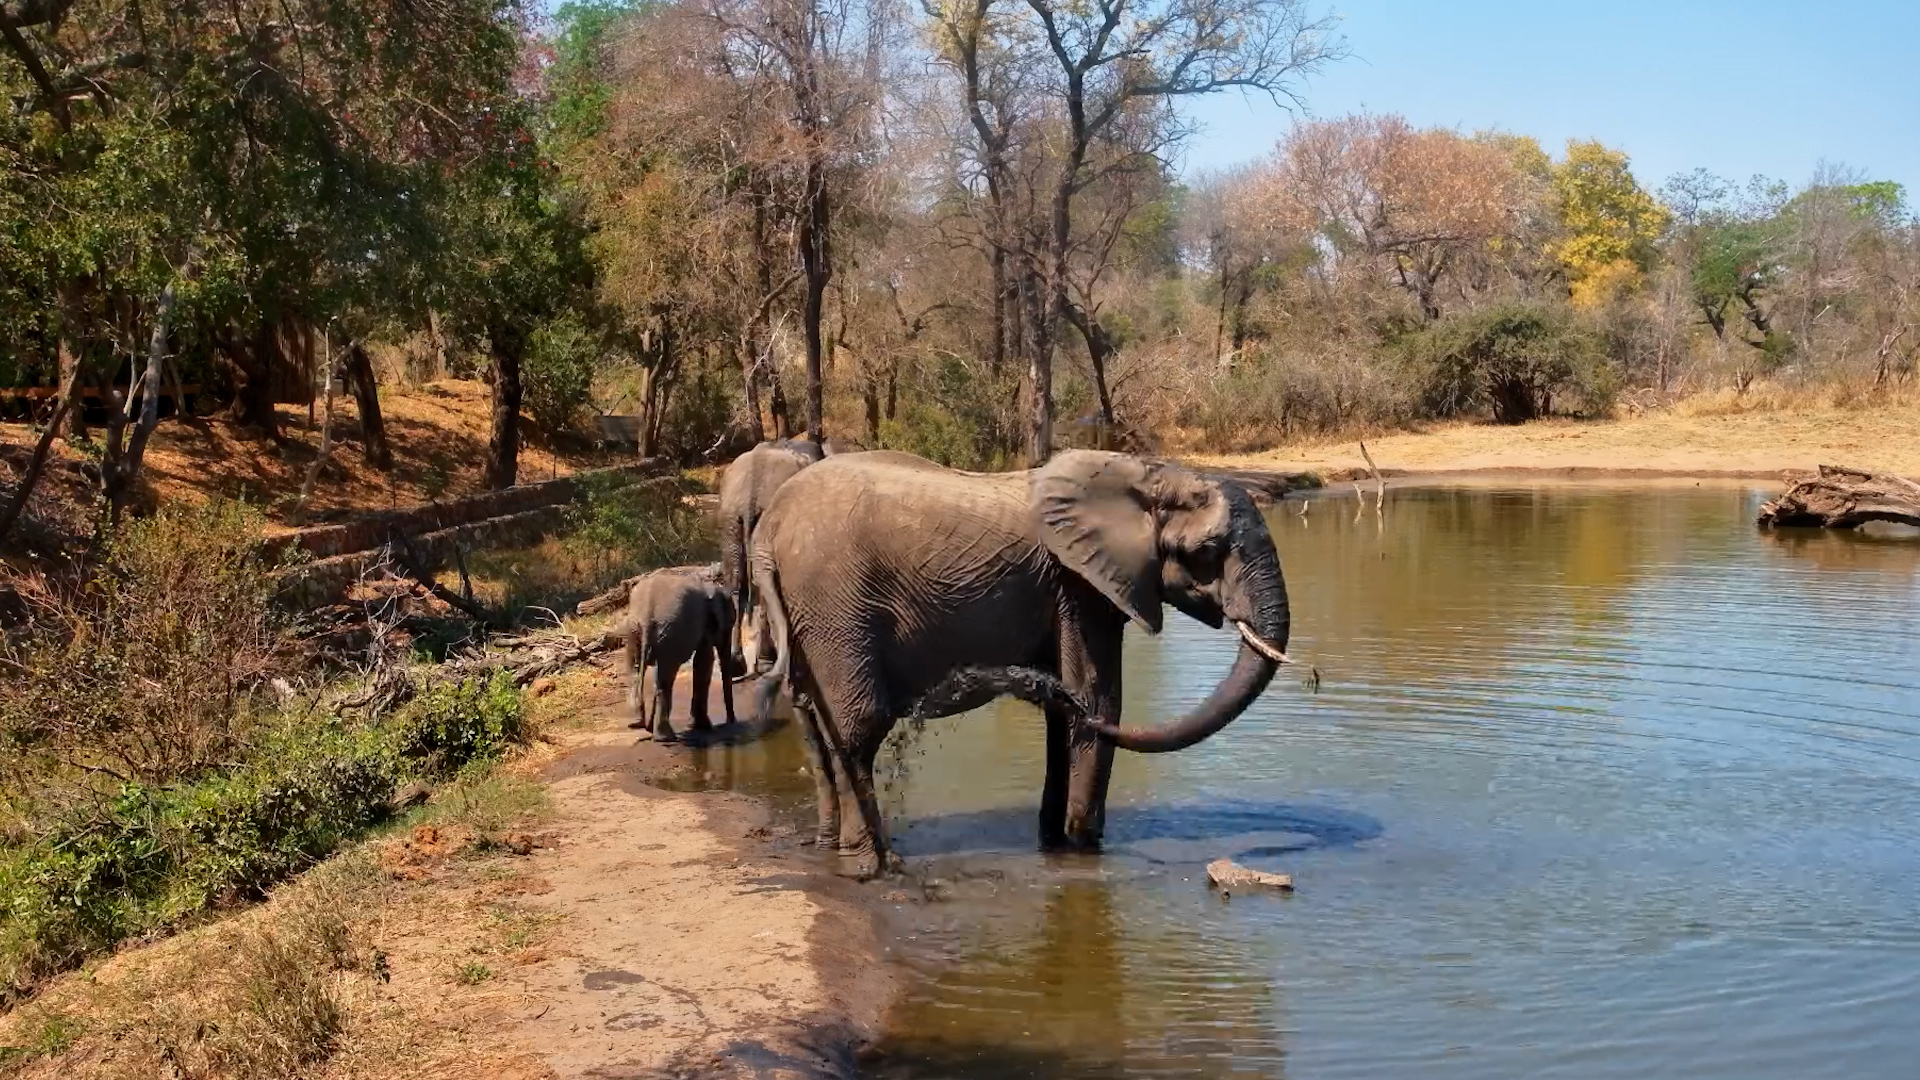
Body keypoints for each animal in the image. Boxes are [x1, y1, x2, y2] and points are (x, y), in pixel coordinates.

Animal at [623, 569, 740, 743]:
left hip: (634, 632)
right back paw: (665, 737)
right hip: (670, 633)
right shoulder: (705, 624)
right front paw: (704, 726)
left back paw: (639, 724)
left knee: (638, 672)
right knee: (665, 678)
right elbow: (704, 662)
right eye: (730, 625)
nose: (731, 721)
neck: (712, 586)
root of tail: (646, 618)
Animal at [748, 449, 1292, 879]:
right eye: (1208, 551)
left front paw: (1055, 845)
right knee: (859, 726)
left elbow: (1066, 716)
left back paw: (834, 848)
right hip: (835, 605)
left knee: (814, 721)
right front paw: (1083, 850)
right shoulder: (1080, 586)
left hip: (809, 612)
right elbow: (1100, 699)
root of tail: (766, 533)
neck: (1149, 475)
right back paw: (873, 865)